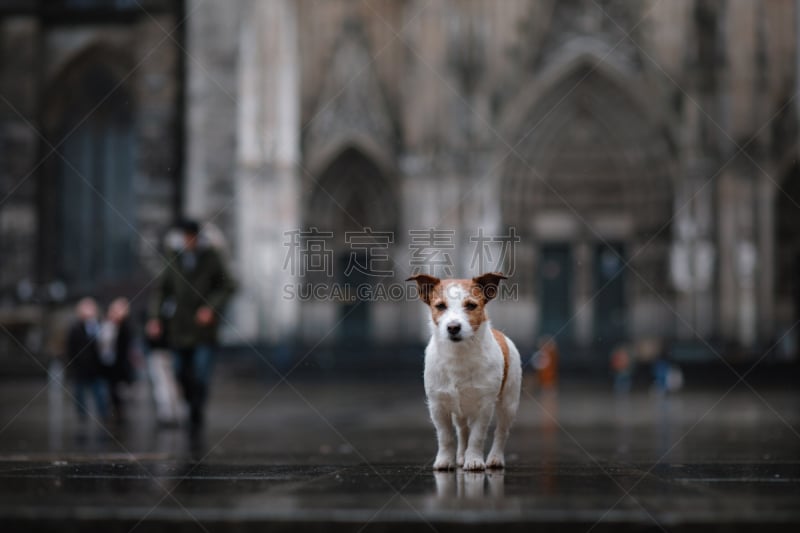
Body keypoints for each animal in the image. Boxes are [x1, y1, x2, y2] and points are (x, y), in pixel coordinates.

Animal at [406, 272, 524, 468]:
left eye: (471, 305)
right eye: (440, 306)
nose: (453, 327)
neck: (459, 355)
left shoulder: (484, 407)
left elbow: (477, 437)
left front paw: (474, 460)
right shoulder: (438, 406)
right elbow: (446, 437)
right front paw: (445, 460)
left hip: (509, 403)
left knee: (501, 432)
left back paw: (495, 458)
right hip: (459, 411)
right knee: (462, 431)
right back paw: (461, 456)